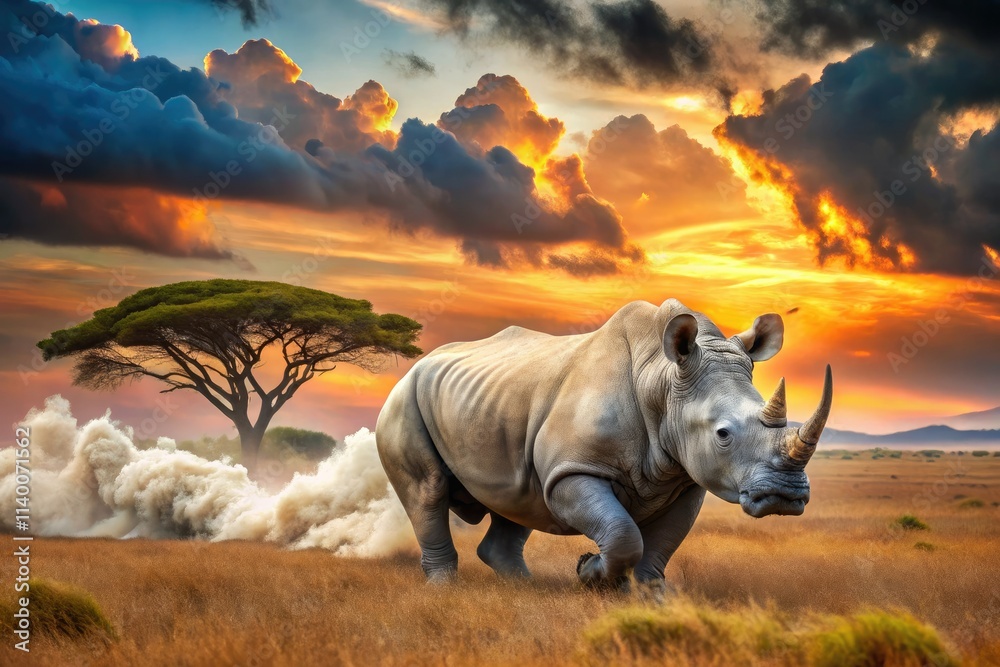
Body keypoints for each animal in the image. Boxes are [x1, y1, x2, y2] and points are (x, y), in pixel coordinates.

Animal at [375, 298, 832, 593]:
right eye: (723, 434)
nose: (786, 495)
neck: (662, 380)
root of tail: (416, 365)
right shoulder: (575, 469)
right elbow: (623, 534)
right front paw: (589, 572)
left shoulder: (687, 478)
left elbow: (661, 544)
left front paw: (648, 597)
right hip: (403, 400)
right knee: (429, 491)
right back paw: (444, 589)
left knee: (520, 494)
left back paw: (526, 588)